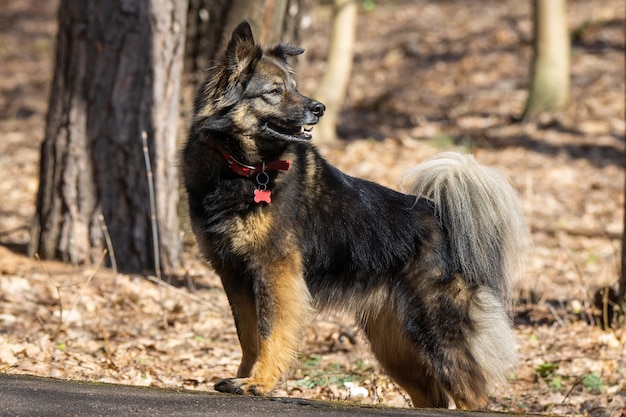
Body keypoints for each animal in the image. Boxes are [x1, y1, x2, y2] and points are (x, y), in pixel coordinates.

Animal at [180, 21, 528, 408]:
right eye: (274, 91)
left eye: (294, 87)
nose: (319, 107)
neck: (243, 168)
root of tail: (439, 215)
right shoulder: (234, 274)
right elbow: (247, 335)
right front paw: (244, 376)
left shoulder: (275, 271)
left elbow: (270, 333)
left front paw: (260, 382)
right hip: (393, 343)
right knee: (434, 396)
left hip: (435, 327)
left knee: (473, 393)